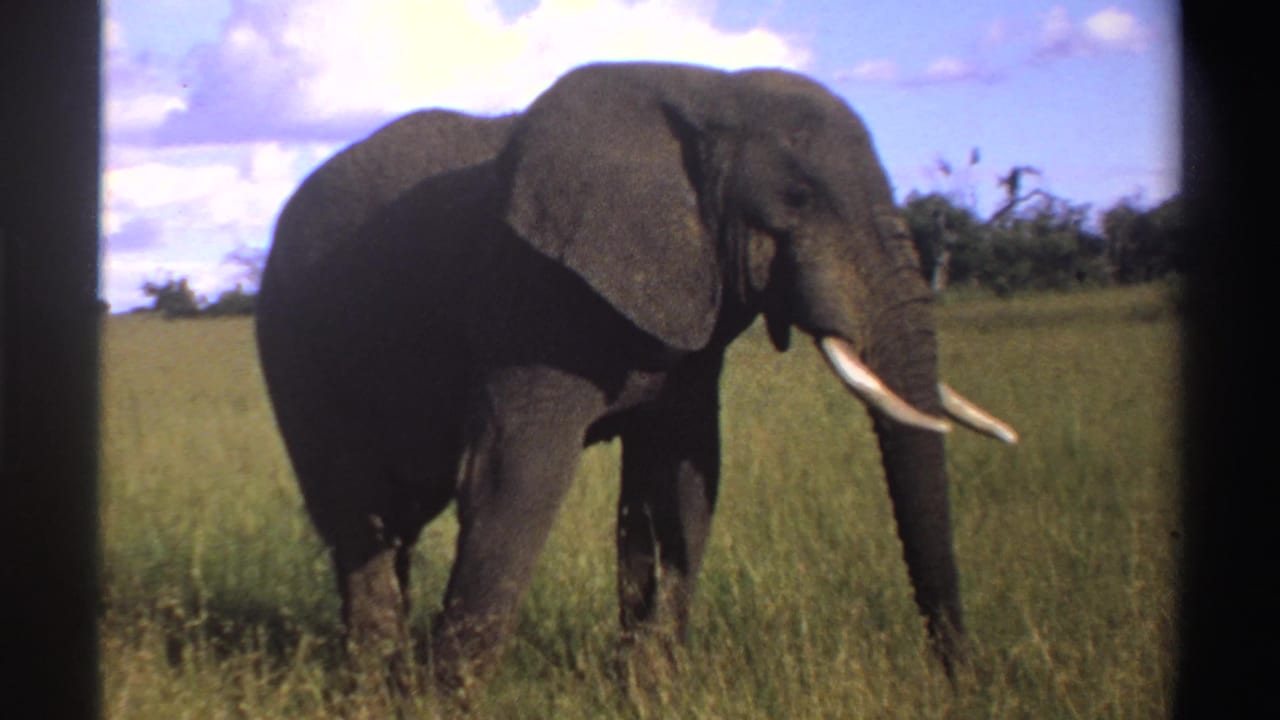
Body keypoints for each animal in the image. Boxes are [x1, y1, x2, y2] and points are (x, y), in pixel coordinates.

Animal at [255, 61, 1017, 694]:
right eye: (798, 197)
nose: (965, 681)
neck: (712, 94)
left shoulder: (689, 324)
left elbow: (680, 482)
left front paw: (648, 691)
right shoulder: (527, 302)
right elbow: (516, 479)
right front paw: (446, 701)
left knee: (397, 518)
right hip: (294, 343)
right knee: (358, 513)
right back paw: (371, 685)